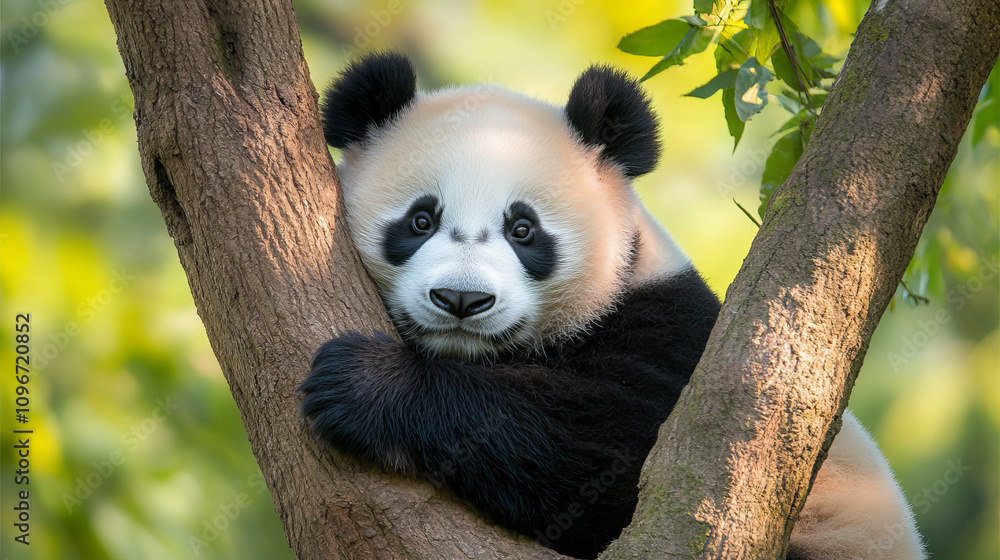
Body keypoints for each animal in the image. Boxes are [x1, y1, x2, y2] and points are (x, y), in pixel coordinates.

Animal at [299, 52, 925, 560]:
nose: (461, 299)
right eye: (421, 220)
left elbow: (611, 459)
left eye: (524, 230)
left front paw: (367, 382)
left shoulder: (675, 338)